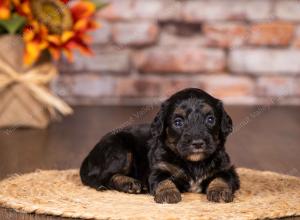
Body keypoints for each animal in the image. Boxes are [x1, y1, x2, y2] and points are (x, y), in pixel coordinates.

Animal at [79, 87, 239, 203]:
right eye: (178, 122)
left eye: (210, 119)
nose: (198, 143)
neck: (193, 163)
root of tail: (89, 156)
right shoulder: (159, 169)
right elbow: (163, 180)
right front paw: (168, 193)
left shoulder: (226, 168)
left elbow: (222, 178)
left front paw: (219, 191)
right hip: (120, 151)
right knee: (104, 177)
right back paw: (130, 184)